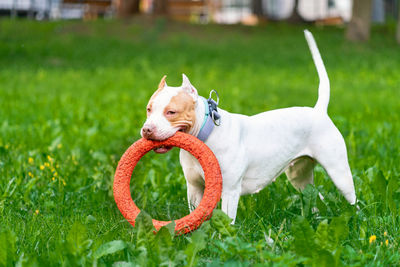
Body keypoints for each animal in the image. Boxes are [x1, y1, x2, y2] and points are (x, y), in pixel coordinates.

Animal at [141, 30, 356, 223]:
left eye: (171, 112)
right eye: (148, 109)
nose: (147, 130)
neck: (205, 136)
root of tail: (318, 111)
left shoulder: (229, 191)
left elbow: (227, 221)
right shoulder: (194, 188)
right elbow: (195, 215)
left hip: (339, 173)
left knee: (352, 198)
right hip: (299, 176)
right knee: (314, 196)